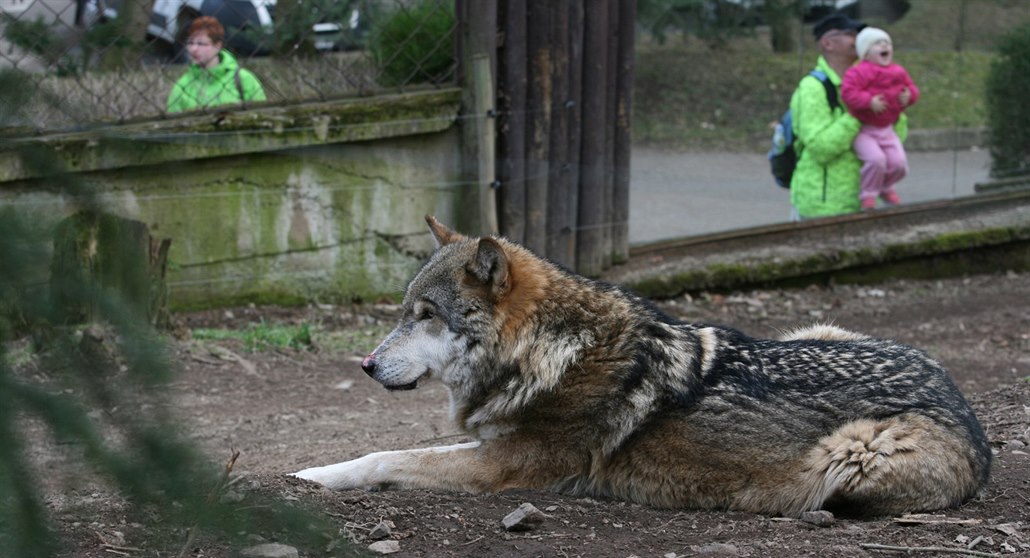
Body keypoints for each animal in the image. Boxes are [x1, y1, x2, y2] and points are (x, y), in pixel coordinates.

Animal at [294, 216, 992, 518]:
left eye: (426, 316)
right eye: (402, 312)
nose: (366, 365)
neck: (547, 351)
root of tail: (963, 403)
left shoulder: (504, 465)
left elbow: (386, 457)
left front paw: (313, 476)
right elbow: (390, 449)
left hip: (851, 455)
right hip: (813, 330)